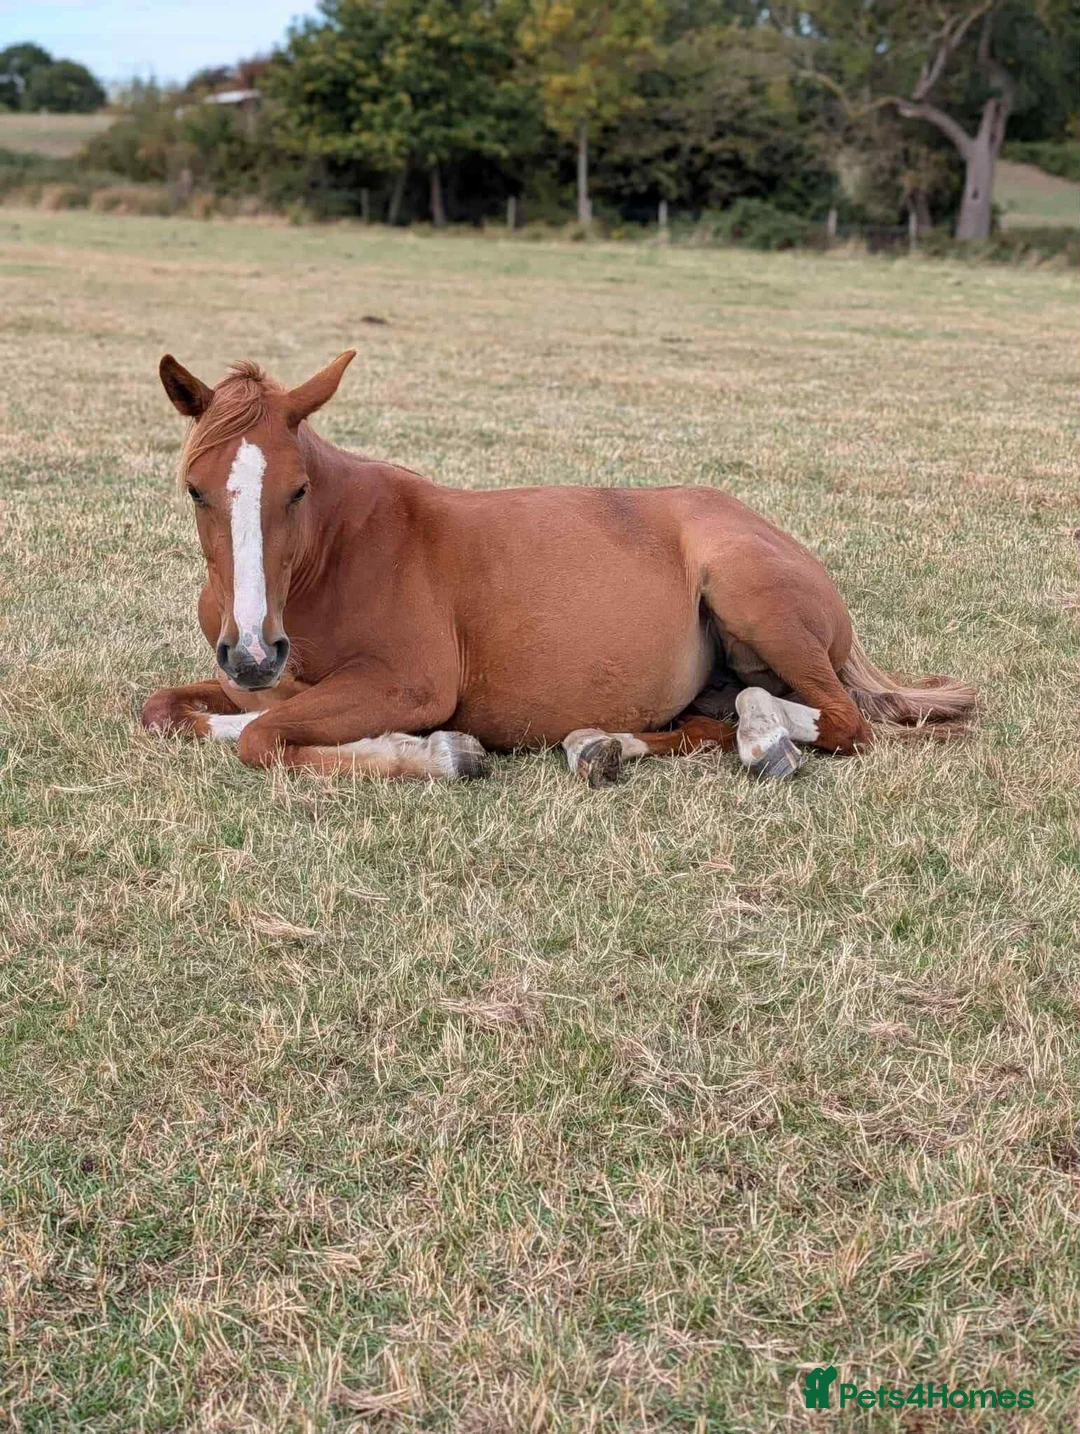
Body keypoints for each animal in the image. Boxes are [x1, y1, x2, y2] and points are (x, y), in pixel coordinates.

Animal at [141, 351, 976, 784]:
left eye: (298, 490)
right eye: (196, 489)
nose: (255, 652)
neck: (332, 558)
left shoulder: (410, 685)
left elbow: (261, 737)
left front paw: (443, 751)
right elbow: (170, 711)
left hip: (751, 595)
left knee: (841, 721)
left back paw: (767, 737)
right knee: (704, 721)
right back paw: (607, 746)